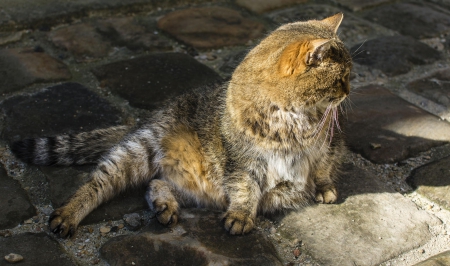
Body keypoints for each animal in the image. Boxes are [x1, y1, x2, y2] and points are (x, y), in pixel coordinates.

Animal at [11, 12, 352, 237]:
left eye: (350, 74)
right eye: (341, 77)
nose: (350, 89)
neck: (293, 119)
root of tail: (148, 117)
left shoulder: (331, 146)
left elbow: (322, 169)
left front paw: (324, 188)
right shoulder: (242, 164)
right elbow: (245, 189)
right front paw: (241, 215)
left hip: (194, 184)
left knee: (155, 182)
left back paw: (165, 207)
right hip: (137, 151)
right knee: (96, 184)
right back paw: (69, 214)